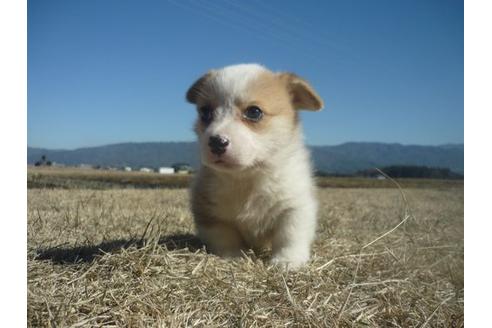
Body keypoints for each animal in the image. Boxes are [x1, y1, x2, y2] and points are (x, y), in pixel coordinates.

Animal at [185, 64, 322, 270]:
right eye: (205, 112)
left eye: (254, 112)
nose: (216, 142)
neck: (248, 177)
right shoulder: (209, 212)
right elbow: (225, 237)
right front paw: (233, 256)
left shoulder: (295, 206)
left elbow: (290, 235)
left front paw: (287, 261)